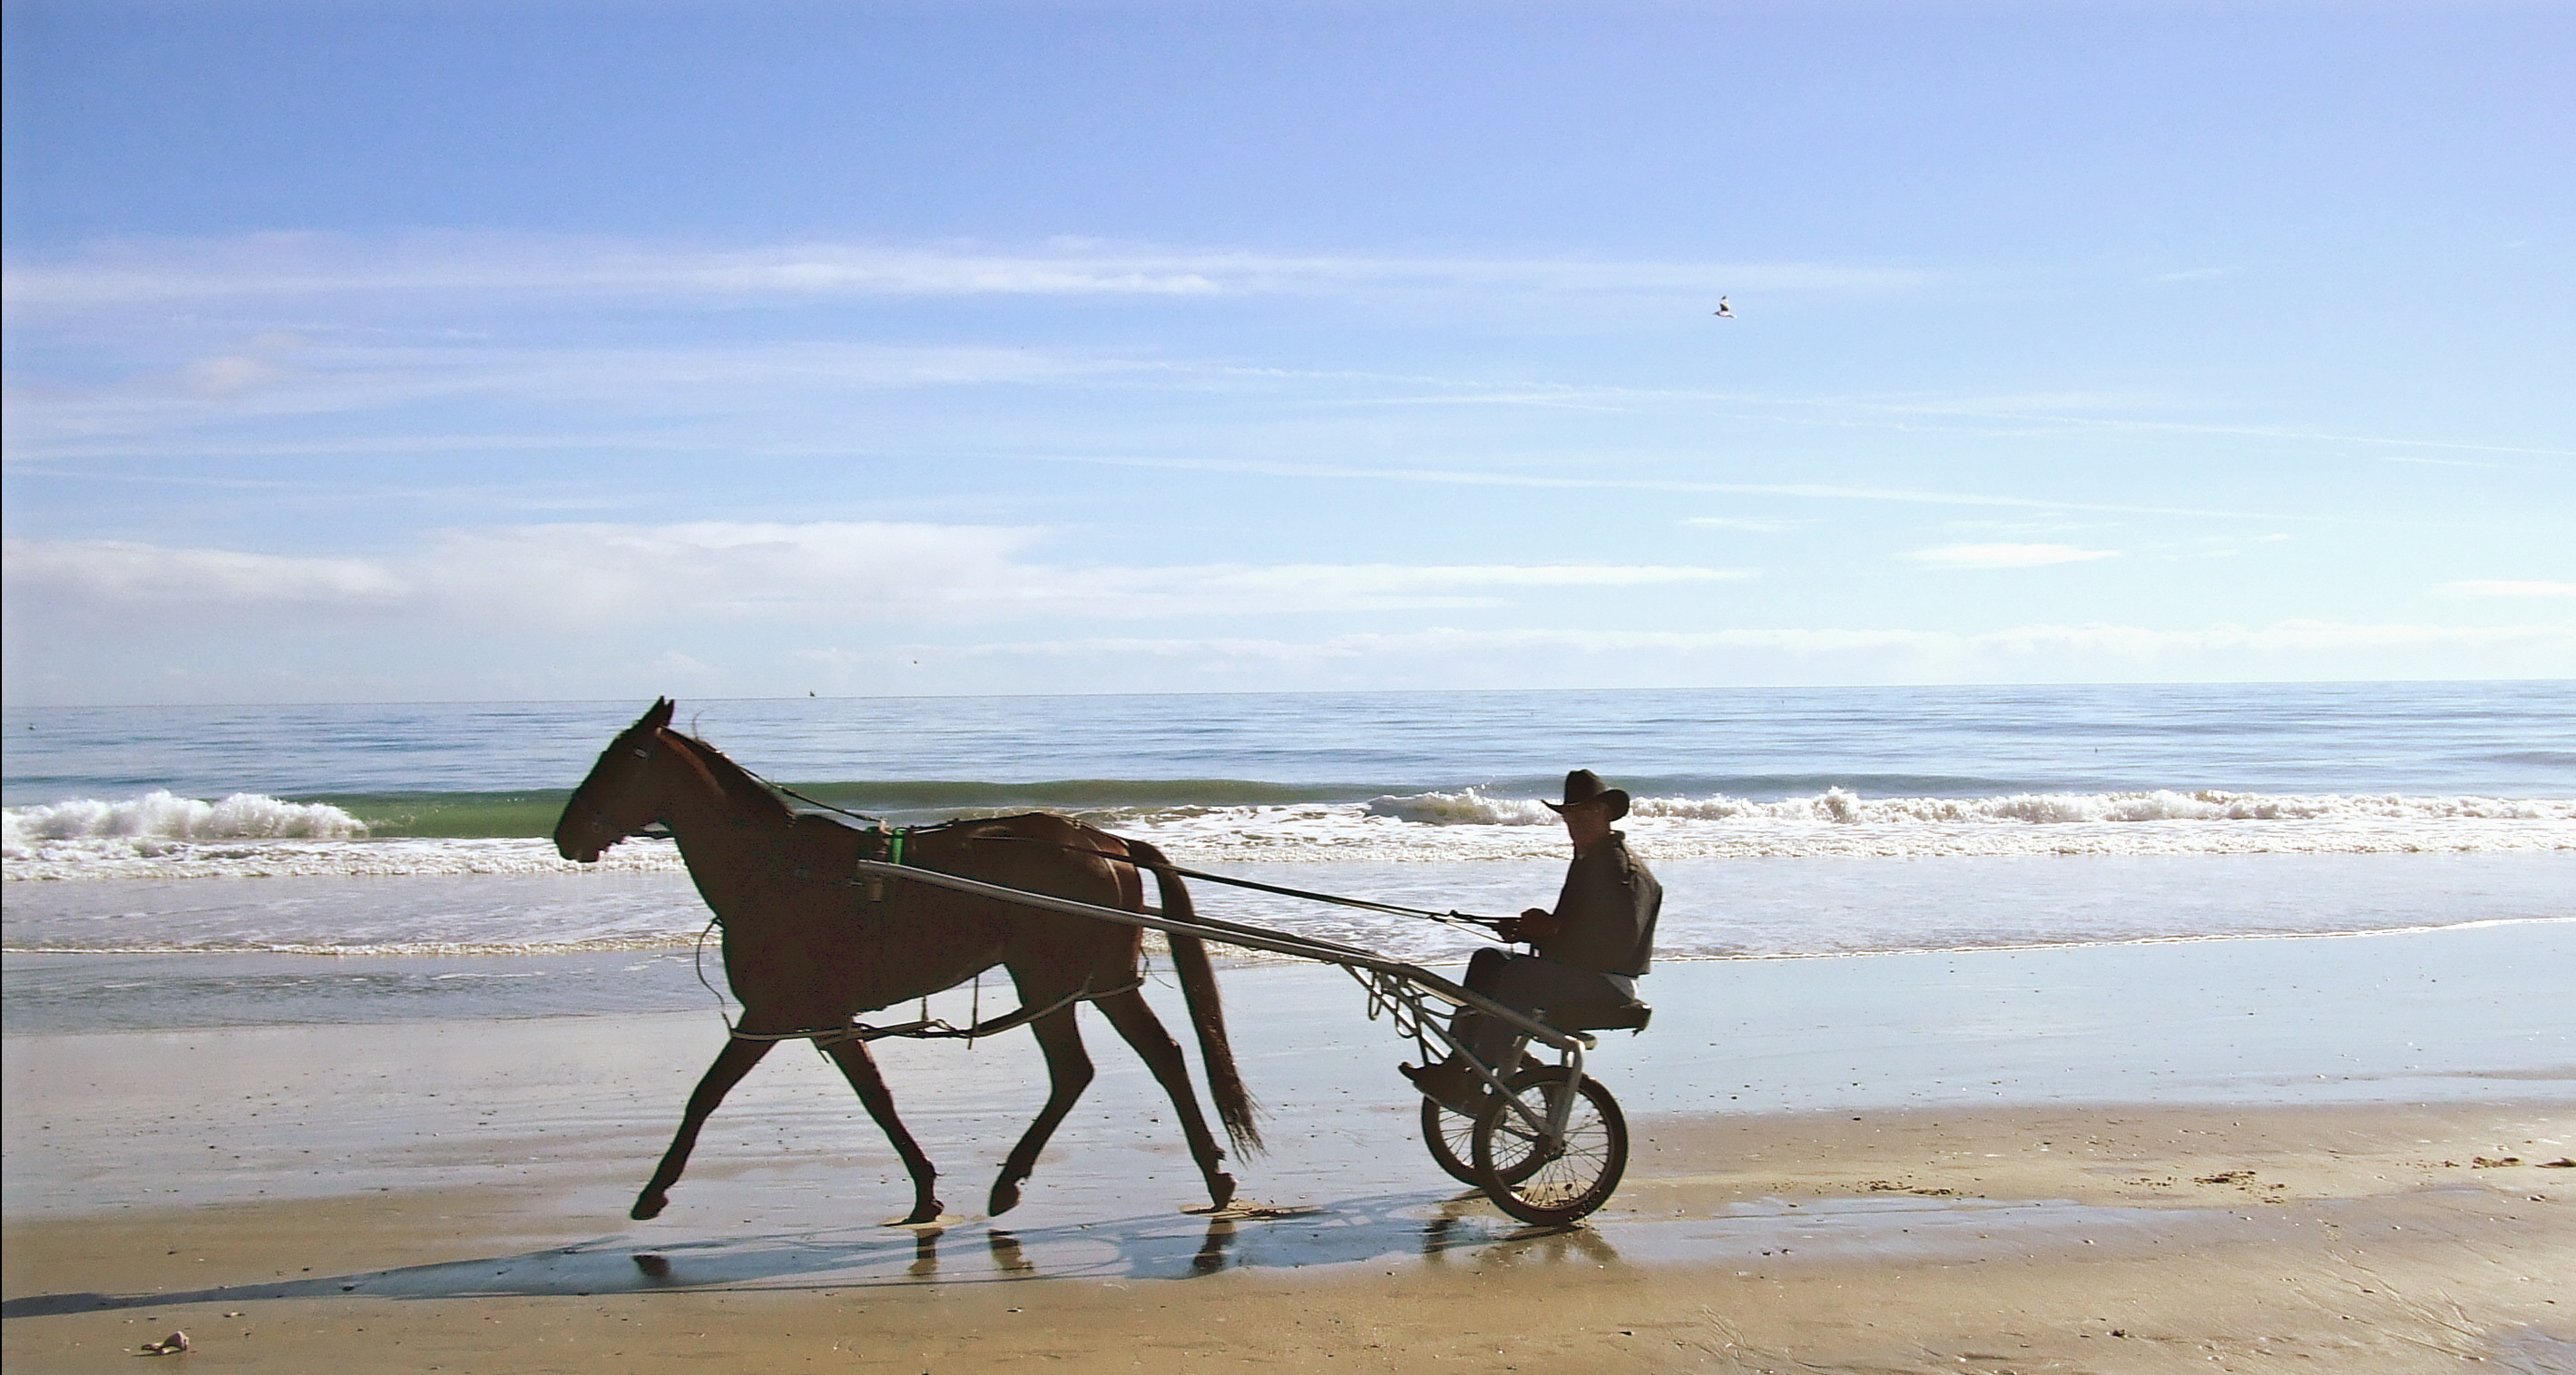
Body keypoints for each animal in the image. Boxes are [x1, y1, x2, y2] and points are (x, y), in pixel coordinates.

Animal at [553, 700, 1257, 1231]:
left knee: (1086, 1069)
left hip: (1052, 979)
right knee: (1144, 1059)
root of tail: (1108, 841)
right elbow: (876, 1098)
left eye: (620, 761)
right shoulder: (824, 1017)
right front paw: (924, 1188)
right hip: (1094, 982)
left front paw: (653, 1192)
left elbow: (705, 1095)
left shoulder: (774, 1009)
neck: (779, 873)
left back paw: (1022, 1180)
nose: (565, 834)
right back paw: (1206, 1176)